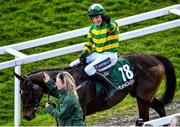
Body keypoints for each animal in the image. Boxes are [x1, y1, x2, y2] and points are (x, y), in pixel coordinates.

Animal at [14, 52, 176, 123]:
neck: (73, 81)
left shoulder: (81, 110)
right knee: (160, 107)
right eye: (20, 93)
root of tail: (153, 57)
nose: (26, 115)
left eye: (27, 92)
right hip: (141, 95)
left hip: (143, 97)